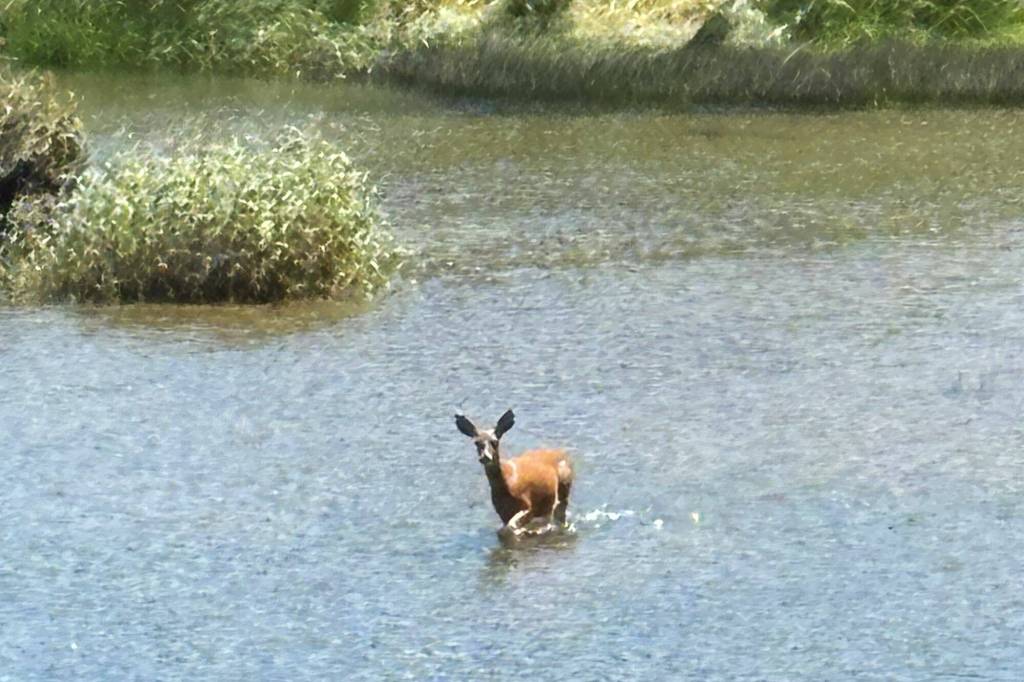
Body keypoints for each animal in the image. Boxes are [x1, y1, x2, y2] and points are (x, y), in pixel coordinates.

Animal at [455, 409, 574, 537]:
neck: (506, 486)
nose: (485, 457)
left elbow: (513, 525)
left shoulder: (527, 504)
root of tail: (564, 453)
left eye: (495, 441)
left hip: (564, 486)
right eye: (476, 442)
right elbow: (508, 528)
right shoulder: (502, 513)